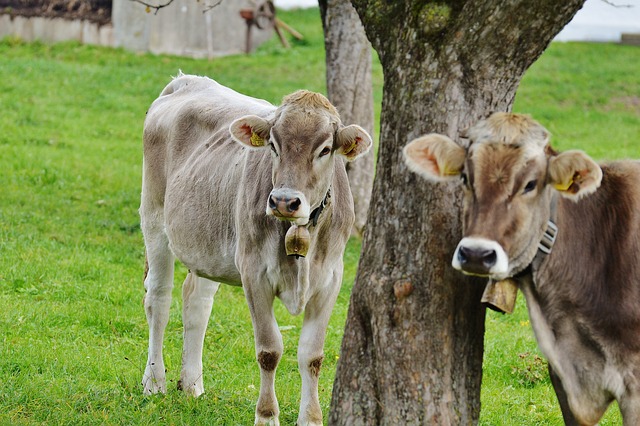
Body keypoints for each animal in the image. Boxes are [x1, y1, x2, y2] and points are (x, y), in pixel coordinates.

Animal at [139, 74, 370, 426]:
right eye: (273, 145)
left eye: (325, 149)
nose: (284, 201)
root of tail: (185, 81)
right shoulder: (254, 273)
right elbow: (269, 350)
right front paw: (266, 416)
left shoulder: (330, 279)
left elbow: (312, 355)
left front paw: (311, 418)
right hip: (153, 219)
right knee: (159, 299)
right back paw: (155, 381)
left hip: (207, 243)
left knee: (197, 302)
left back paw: (192, 384)